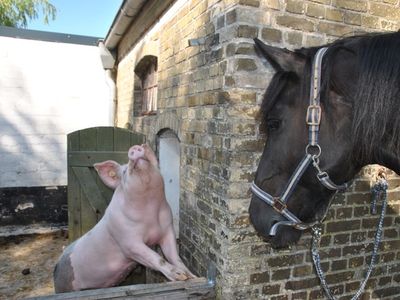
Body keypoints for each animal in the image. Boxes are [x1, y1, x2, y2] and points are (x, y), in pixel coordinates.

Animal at [53, 144, 195, 292]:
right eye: (125, 172)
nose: (135, 147)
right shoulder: (128, 242)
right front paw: (180, 276)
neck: (151, 215)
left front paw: (190, 276)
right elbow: (156, 258)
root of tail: (56, 266)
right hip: (64, 285)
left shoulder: (167, 231)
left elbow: (175, 256)